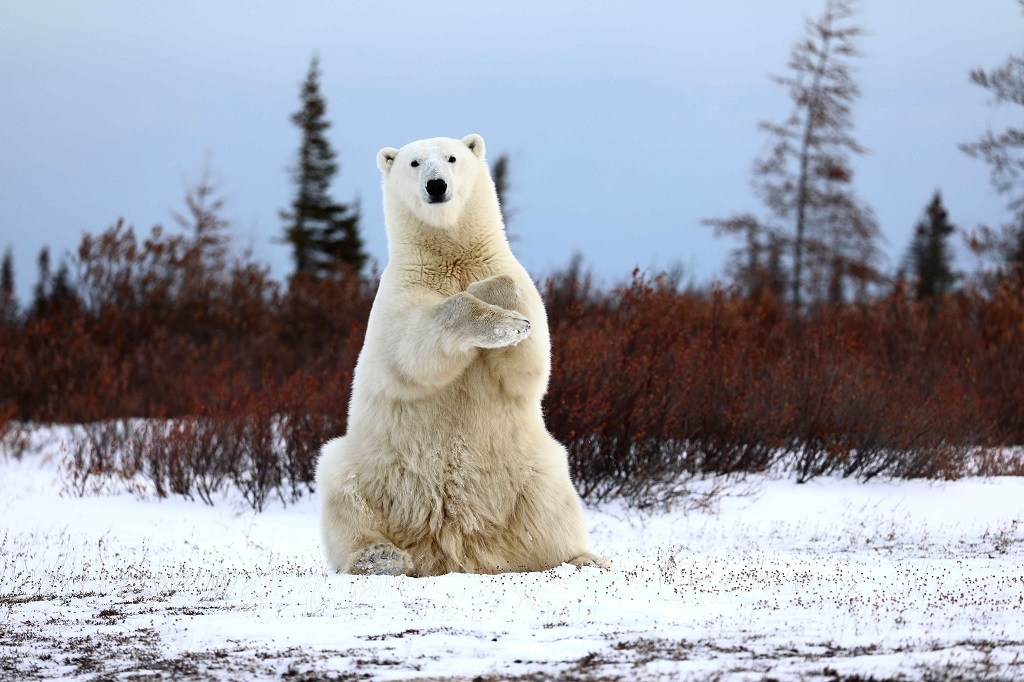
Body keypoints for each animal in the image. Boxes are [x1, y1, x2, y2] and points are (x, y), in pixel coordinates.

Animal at [315, 133, 608, 577]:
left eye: (452, 157)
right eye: (414, 162)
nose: (436, 185)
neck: (448, 256)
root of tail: (453, 546)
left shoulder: (517, 279)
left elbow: (530, 360)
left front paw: (503, 309)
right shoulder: (398, 298)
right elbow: (411, 348)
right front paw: (499, 319)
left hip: (530, 467)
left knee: (553, 500)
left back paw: (583, 557)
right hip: (370, 467)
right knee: (343, 488)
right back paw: (379, 555)